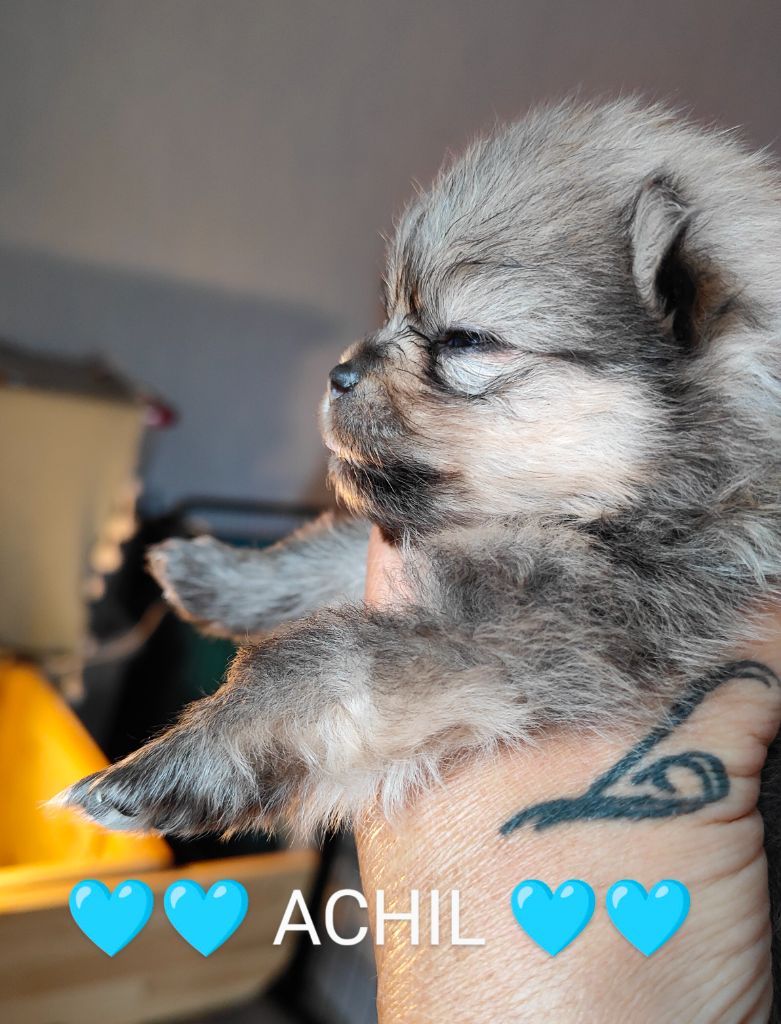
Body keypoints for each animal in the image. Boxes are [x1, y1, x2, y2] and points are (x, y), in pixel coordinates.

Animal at [56, 97, 781, 1003]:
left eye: (466, 339)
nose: (337, 371)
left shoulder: (532, 634)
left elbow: (316, 664)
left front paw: (168, 764)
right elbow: (332, 555)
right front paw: (224, 575)